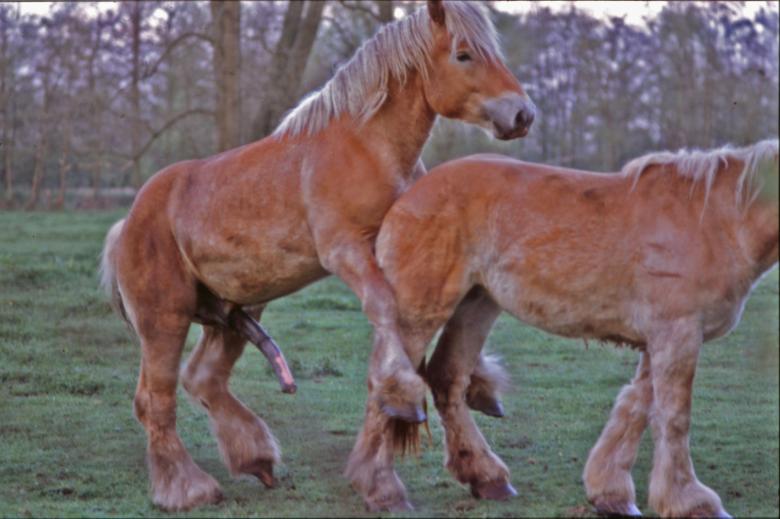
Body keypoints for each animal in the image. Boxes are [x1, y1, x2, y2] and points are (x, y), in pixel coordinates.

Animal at [99, 0, 535, 512]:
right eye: (464, 55)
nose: (522, 114)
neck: (368, 148)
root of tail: (128, 223)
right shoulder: (345, 250)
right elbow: (389, 309)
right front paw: (404, 397)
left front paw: (481, 387)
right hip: (165, 319)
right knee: (156, 400)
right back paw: (188, 489)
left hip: (235, 312)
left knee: (202, 379)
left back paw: (257, 460)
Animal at [370, 139, 778, 516]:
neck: (717, 220)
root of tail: (410, 194)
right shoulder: (677, 334)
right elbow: (674, 417)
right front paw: (690, 501)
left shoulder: (661, 341)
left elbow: (636, 406)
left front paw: (610, 493)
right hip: (420, 311)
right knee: (385, 384)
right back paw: (381, 491)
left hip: (477, 304)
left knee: (447, 379)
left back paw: (486, 478)